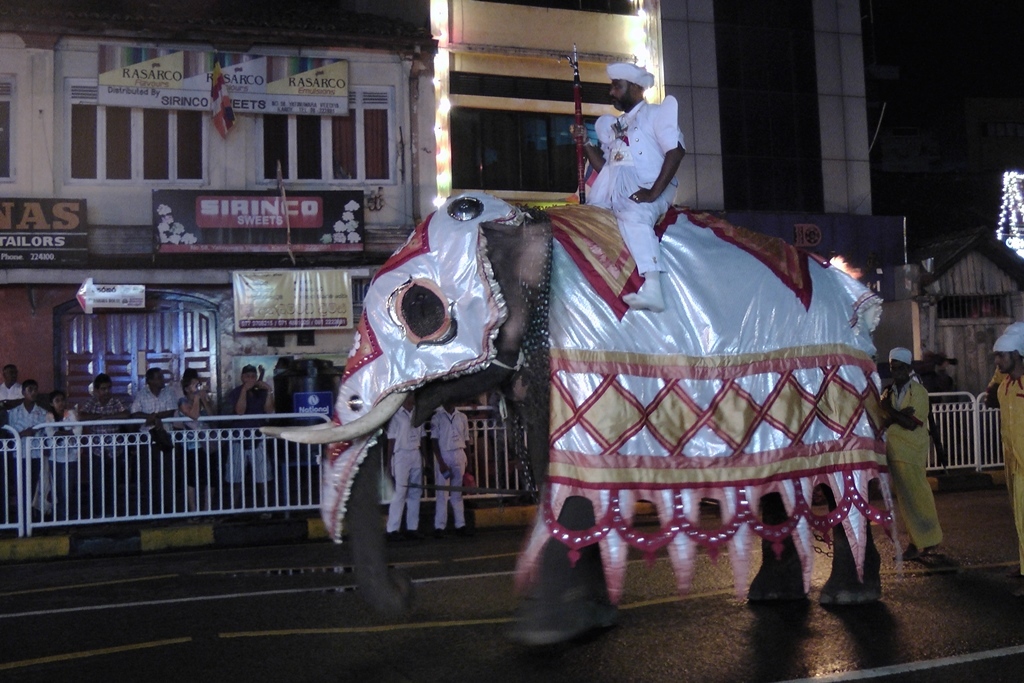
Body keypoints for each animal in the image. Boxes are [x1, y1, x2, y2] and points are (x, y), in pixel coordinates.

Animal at [266, 192, 897, 647]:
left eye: (420, 310)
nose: (409, 587)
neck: (531, 223)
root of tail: (856, 296)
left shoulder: (580, 355)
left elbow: (571, 486)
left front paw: (541, 635)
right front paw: (589, 620)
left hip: (848, 390)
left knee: (851, 484)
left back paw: (848, 600)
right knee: (777, 487)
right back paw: (773, 599)